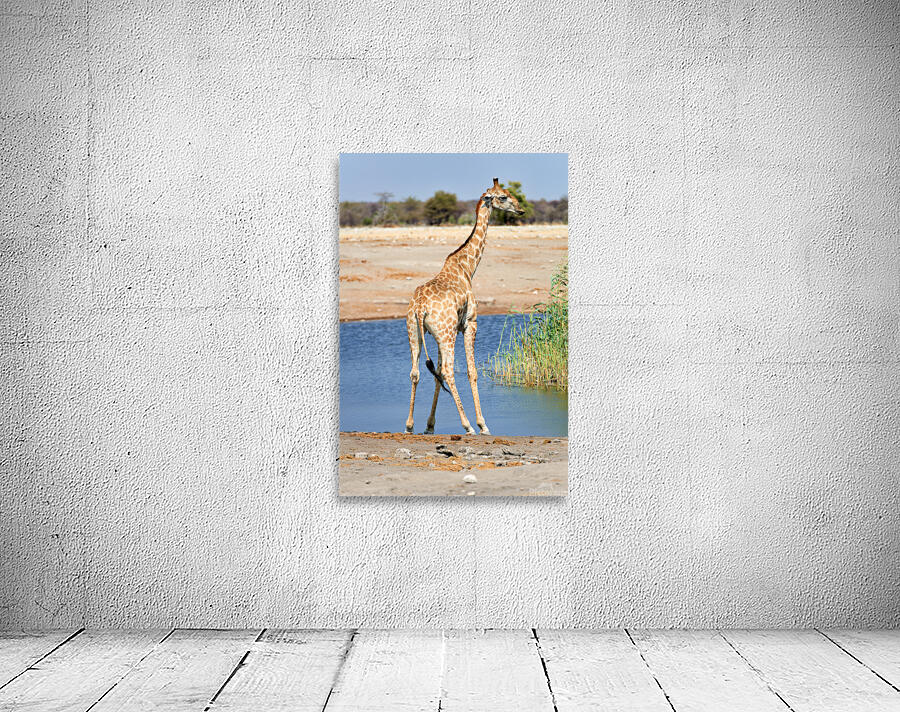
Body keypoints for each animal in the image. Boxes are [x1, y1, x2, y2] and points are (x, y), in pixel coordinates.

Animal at [405, 178, 524, 435]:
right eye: (503, 197)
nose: (521, 210)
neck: (468, 267)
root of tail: (419, 307)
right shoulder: (469, 323)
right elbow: (472, 371)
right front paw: (483, 424)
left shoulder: (440, 334)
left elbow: (436, 373)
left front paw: (429, 425)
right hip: (446, 333)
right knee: (449, 371)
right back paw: (468, 425)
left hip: (416, 332)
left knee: (417, 372)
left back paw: (409, 426)